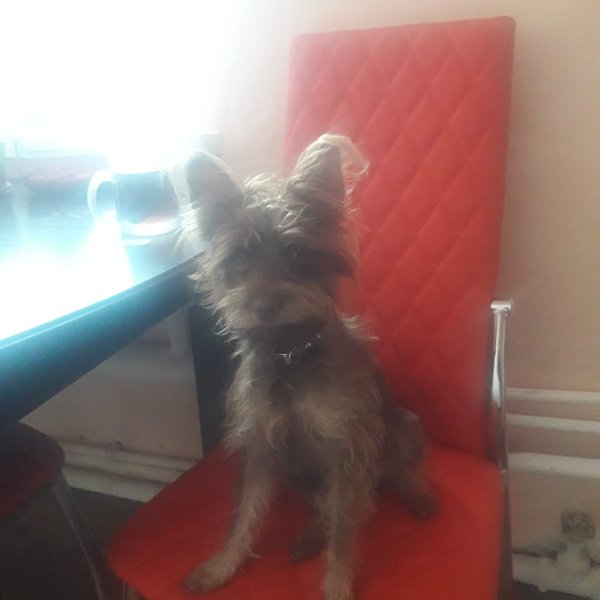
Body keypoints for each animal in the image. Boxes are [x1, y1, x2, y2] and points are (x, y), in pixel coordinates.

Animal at [172, 135, 438, 600]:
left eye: (296, 253)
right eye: (239, 260)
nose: (264, 305)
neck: (289, 354)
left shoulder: (348, 447)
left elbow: (345, 535)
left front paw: (336, 585)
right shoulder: (262, 447)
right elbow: (245, 515)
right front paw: (222, 566)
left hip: (403, 427)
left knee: (395, 475)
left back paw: (416, 494)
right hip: (297, 472)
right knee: (327, 508)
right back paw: (309, 537)